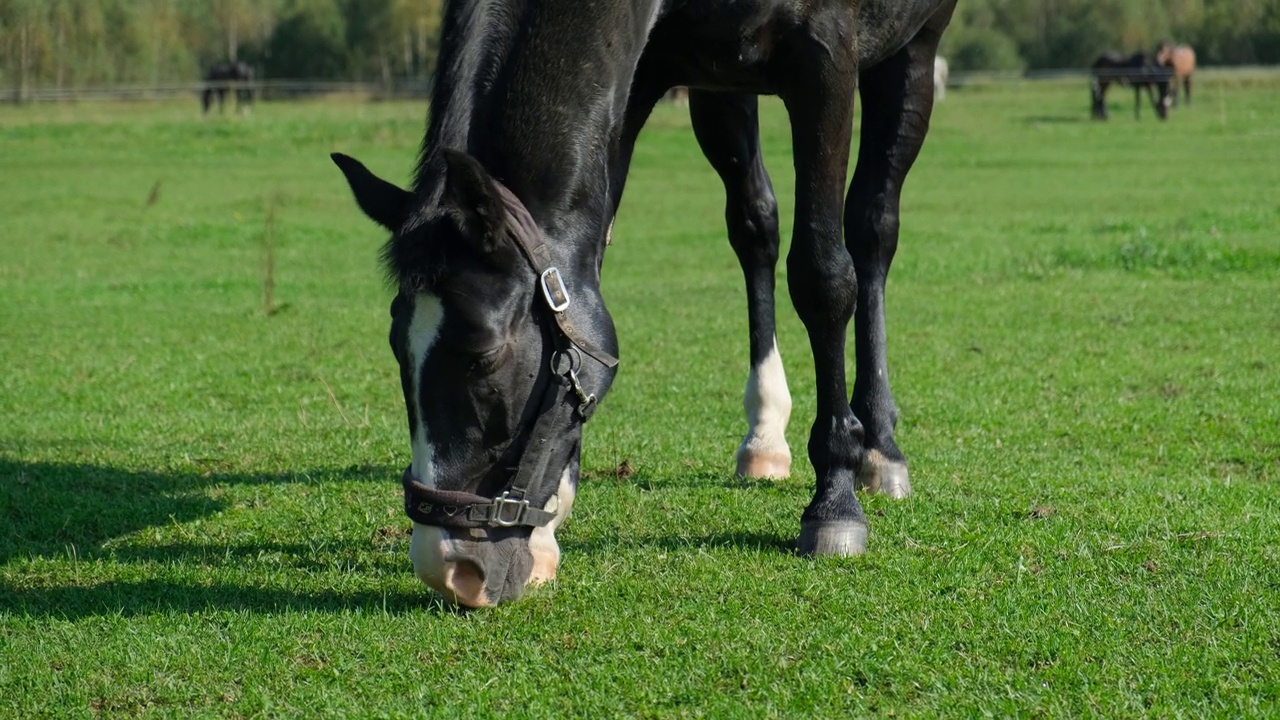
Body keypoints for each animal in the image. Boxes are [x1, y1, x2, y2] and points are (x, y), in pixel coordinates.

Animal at [335, 0, 957, 604]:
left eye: (482, 353)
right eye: (397, 349)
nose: (449, 568)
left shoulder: (827, 62)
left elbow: (823, 276)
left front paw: (834, 502)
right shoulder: (638, 78)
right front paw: (545, 529)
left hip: (912, 51)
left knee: (872, 228)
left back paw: (879, 447)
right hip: (722, 89)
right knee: (756, 224)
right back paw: (765, 435)